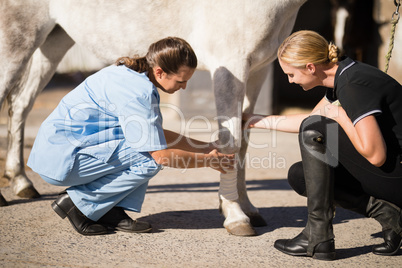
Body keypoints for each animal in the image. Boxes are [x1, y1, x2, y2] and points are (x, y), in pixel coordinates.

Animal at [0, 0, 306, 234]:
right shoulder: (231, 66)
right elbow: (230, 142)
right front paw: (235, 216)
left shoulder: (258, 70)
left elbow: (243, 139)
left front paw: (248, 208)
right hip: (18, 39)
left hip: (54, 40)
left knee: (21, 104)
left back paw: (21, 182)